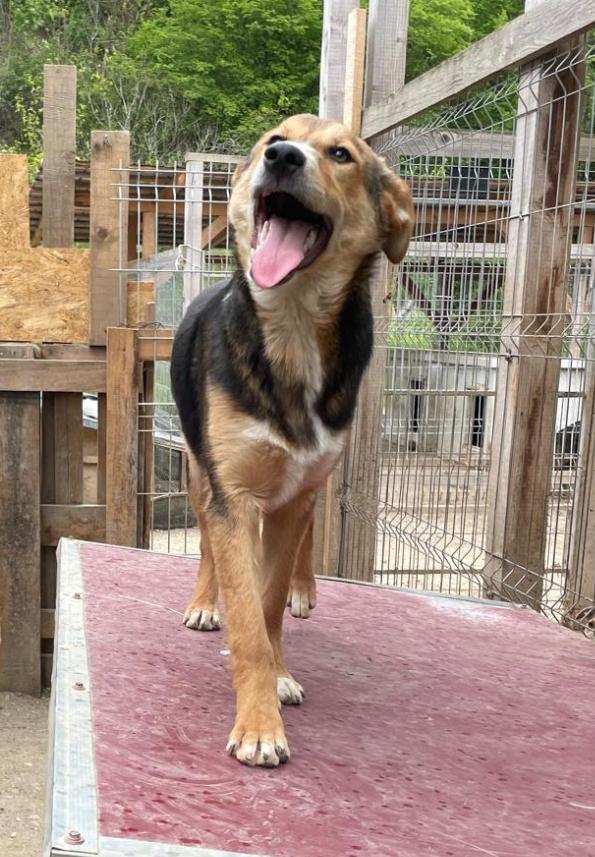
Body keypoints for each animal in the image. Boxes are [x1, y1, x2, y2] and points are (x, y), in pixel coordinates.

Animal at [170, 114, 413, 767]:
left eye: (341, 154)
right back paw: (205, 604)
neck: (295, 324)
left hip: (306, 488)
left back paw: (300, 592)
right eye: (271, 139)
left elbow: (269, 605)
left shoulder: (296, 493)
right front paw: (259, 724)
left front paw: (276, 673)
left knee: (299, 550)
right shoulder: (233, 495)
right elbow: (247, 617)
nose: (282, 158)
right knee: (207, 548)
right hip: (200, 477)